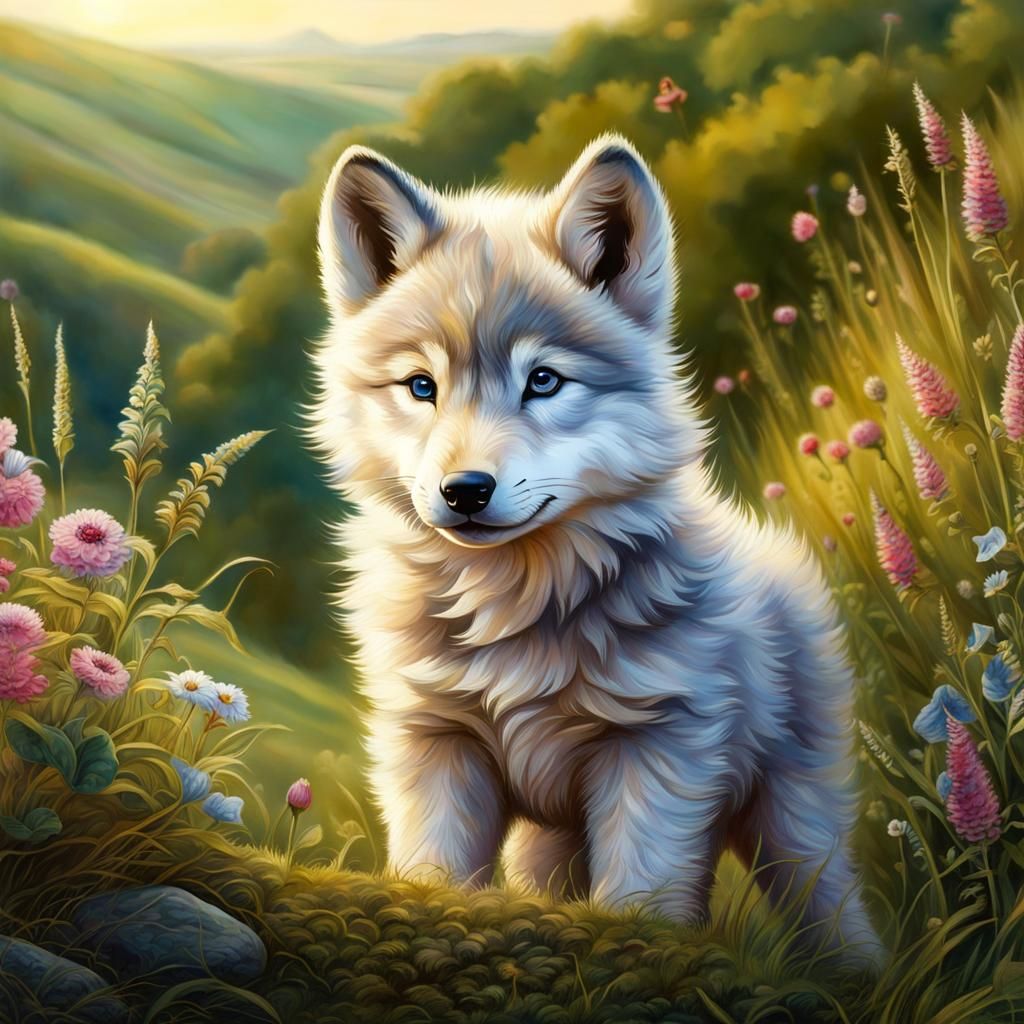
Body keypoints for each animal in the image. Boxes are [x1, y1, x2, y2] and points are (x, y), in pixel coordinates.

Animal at [310, 134, 882, 962]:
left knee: (829, 909)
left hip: (792, 822)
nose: (465, 491)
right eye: (421, 386)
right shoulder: (436, 739)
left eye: (544, 381)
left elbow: (643, 892)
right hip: (549, 838)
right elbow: (437, 870)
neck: (515, 606)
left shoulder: (661, 746)